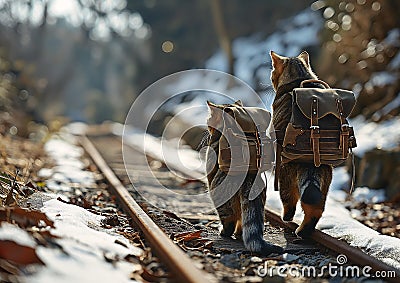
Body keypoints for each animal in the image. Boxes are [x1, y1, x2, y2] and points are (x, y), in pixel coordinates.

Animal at [205, 101, 282, 256]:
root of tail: (248, 175)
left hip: (221, 199)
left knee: (229, 221)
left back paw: (224, 232)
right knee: (243, 221)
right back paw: (239, 234)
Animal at [270, 51, 332, 240]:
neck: (300, 76)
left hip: (284, 175)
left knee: (289, 202)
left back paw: (287, 220)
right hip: (324, 181)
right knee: (315, 209)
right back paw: (303, 231)